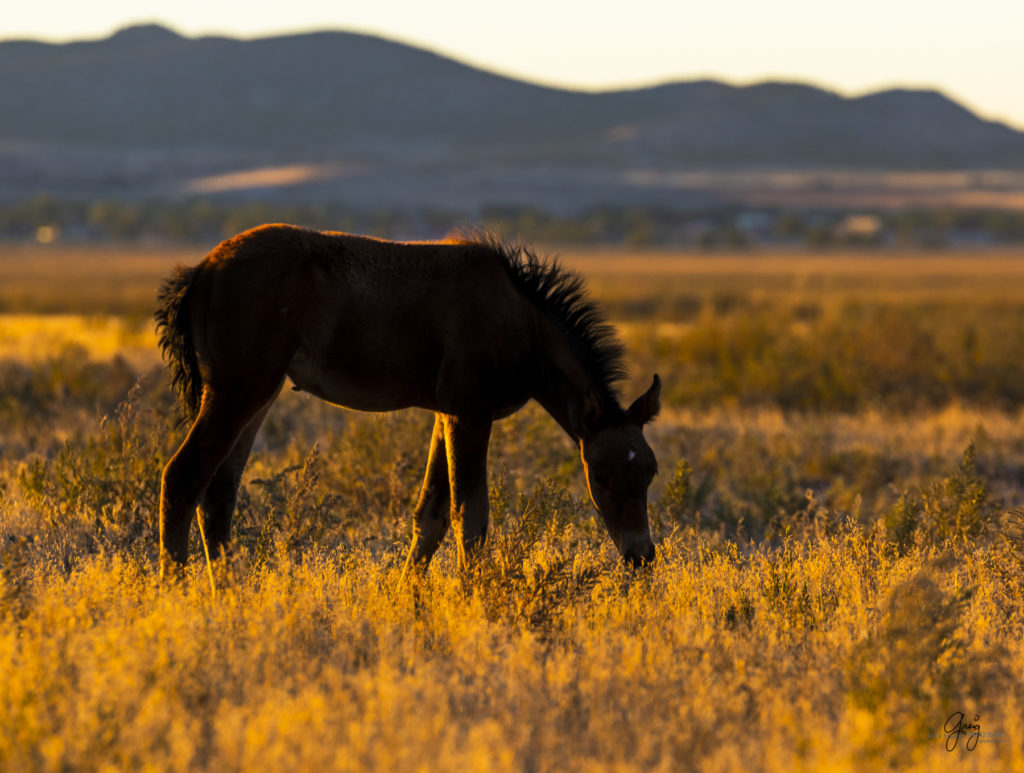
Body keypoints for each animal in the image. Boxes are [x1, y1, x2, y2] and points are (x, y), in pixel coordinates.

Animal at [154, 226, 659, 577]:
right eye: (601, 473)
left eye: (650, 472)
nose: (642, 556)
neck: (520, 322)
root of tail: (201, 272)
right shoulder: (469, 413)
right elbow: (469, 517)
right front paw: (475, 602)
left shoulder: (446, 415)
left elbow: (431, 516)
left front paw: (407, 599)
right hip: (237, 392)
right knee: (183, 478)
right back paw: (176, 592)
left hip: (255, 396)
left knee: (218, 493)